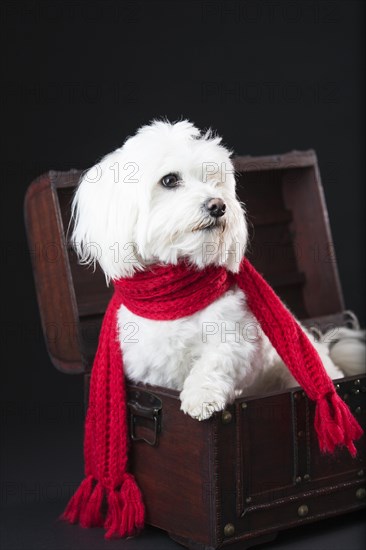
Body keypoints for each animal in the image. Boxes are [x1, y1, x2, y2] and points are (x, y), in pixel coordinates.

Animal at [70, 121, 364, 420]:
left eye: (214, 180)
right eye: (169, 180)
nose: (218, 205)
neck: (177, 293)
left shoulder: (236, 336)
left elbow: (214, 362)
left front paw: (201, 396)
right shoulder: (150, 369)